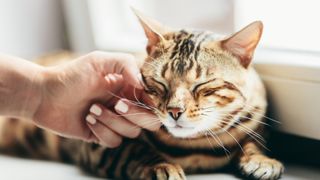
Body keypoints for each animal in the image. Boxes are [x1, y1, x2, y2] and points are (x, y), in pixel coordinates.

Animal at [0, 10, 284, 180]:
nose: (174, 111)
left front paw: (261, 159)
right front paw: (161, 166)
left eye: (202, 85)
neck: (194, 146)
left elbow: (253, 140)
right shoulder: (98, 144)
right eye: (159, 83)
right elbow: (134, 151)